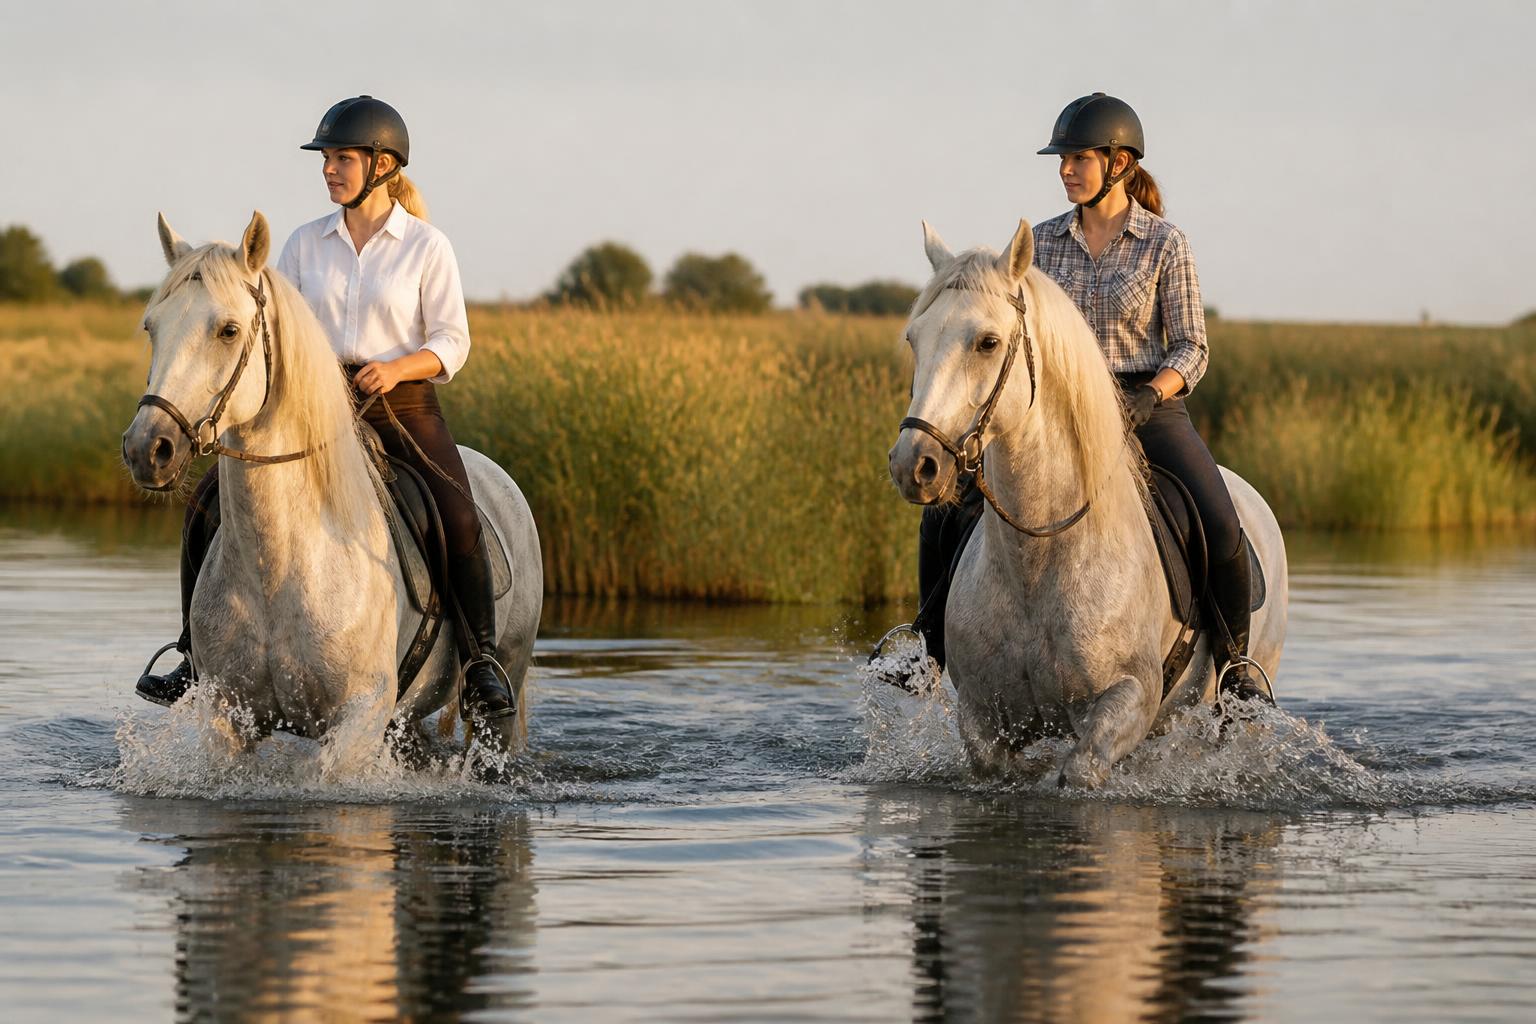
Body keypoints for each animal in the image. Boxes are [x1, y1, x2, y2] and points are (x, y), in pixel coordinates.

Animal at [886, 219, 1287, 788]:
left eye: (988, 342)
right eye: (914, 339)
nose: (913, 464)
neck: (1040, 559)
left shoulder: (1128, 701)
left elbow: (1079, 771)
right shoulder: (983, 718)